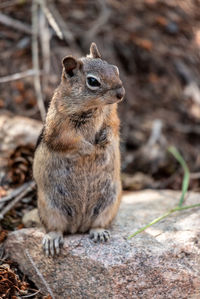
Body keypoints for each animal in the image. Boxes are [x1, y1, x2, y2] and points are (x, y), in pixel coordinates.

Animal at [33, 42, 124, 256]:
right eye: (92, 81)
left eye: (115, 68)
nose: (121, 93)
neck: (94, 108)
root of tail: (78, 226)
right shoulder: (60, 128)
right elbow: (70, 142)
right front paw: (90, 149)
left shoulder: (112, 115)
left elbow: (113, 127)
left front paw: (105, 140)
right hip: (49, 207)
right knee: (56, 228)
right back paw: (52, 239)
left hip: (110, 203)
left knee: (97, 224)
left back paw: (99, 232)